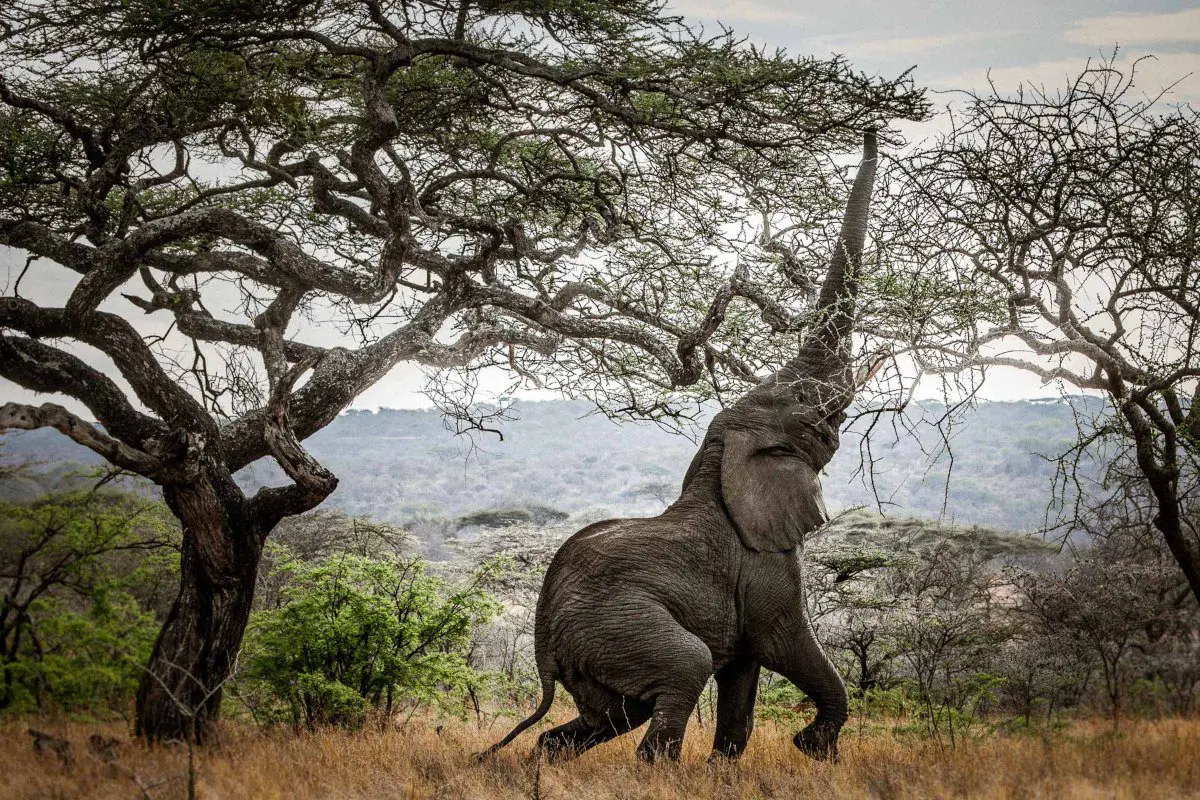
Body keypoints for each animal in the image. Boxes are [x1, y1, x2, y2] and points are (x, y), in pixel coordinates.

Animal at [480, 130, 883, 762]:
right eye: (812, 413)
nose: (869, 133)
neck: (720, 459)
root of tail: (543, 637)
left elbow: (742, 685)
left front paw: (726, 768)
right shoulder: (763, 560)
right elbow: (783, 643)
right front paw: (814, 746)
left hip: (594, 650)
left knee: (606, 716)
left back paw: (543, 765)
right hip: (619, 625)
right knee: (681, 672)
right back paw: (654, 768)